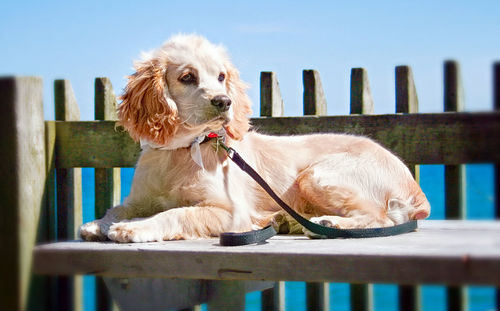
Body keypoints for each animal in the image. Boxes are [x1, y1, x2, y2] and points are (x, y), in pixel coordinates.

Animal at [79, 34, 430, 244]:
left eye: (221, 77)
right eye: (187, 77)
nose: (224, 102)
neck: (183, 149)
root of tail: (414, 187)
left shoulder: (231, 212)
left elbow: (177, 213)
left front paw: (135, 228)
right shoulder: (139, 199)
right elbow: (117, 208)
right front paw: (99, 224)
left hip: (317, 175)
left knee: (379, 216)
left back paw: (329, 223)